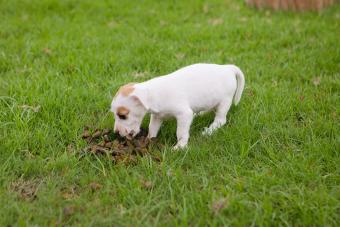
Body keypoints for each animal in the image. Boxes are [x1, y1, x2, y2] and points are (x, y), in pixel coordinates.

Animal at [110, 63, 246, 150]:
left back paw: (210, 130)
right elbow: (152, 129)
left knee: (220, 120)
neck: (154, 93)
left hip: (225, 102)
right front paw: (148, 140)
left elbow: (180, 132)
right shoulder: (157, 117)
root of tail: (228, 68)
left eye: (122, 115)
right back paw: (200, 114)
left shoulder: (184, 115)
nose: (116, 132)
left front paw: (180, 147)